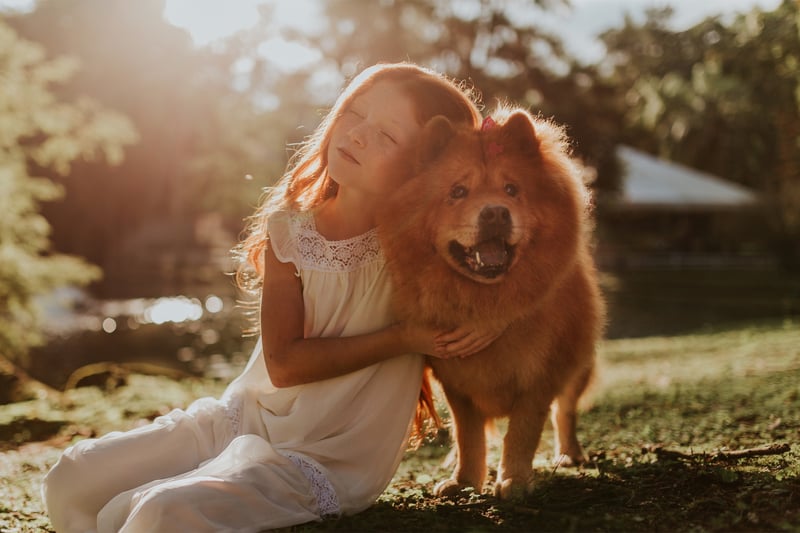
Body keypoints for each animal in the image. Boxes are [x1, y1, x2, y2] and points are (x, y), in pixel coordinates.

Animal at [378, 107, 604, 498]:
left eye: (511, 189)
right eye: (457, 192)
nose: (495, 212)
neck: (485, 298)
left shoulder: (540, 377)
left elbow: (523, 432)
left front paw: (514, 480)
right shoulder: (456, 382)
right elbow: (468, 434)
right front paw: (464, 480)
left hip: (579, 363)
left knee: (566, 411)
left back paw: (569, 454)